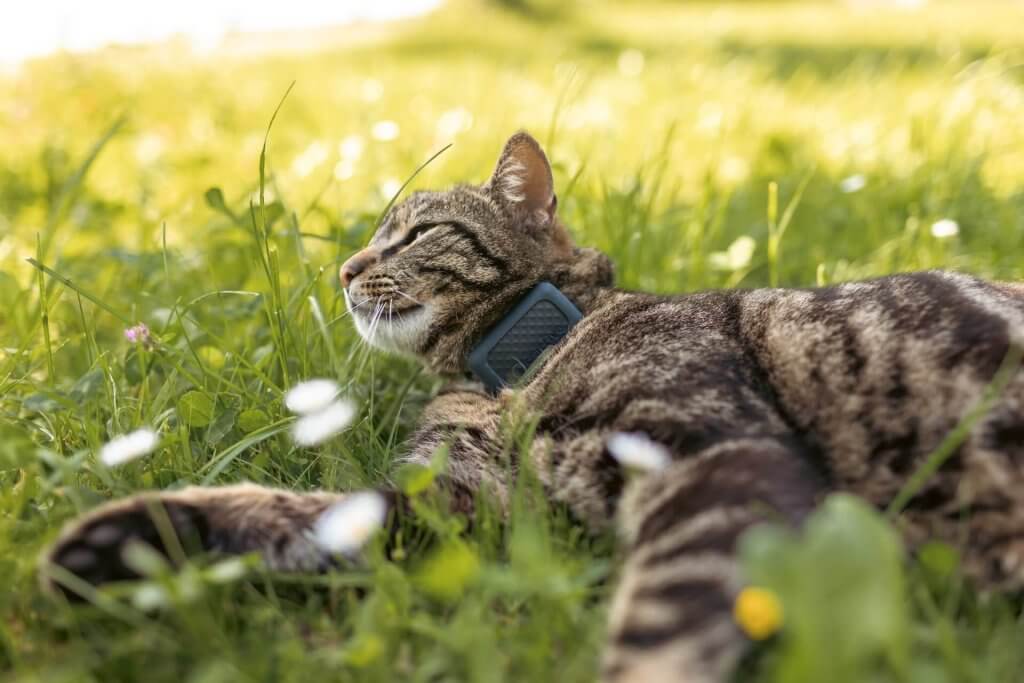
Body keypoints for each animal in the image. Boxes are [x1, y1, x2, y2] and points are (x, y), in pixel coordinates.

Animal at [44, 131, 1024, 679]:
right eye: (371, 238)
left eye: (416, 232)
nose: (345, 268)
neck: (512, 372)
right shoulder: (457, 503)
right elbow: (305, 513)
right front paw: (137, 537)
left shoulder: (712, 452)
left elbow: (657, 637)